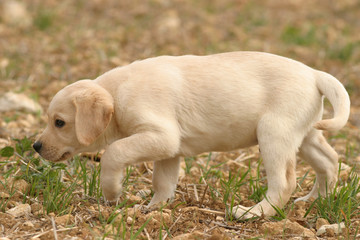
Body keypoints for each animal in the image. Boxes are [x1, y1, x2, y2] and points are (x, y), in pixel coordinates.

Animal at [33, 51, 348, 218]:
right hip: (305, 136)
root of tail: (314, 73)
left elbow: (113, 152)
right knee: (330, 162)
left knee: (283, 183)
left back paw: (251, 214)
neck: (116, 92)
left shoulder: (161, 136)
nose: (35, 146)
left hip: (273, 136)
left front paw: (112, 191)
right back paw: (315, 200)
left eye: (59, 122)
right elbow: (163, 182)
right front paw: (154, 208)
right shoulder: (168, 150)